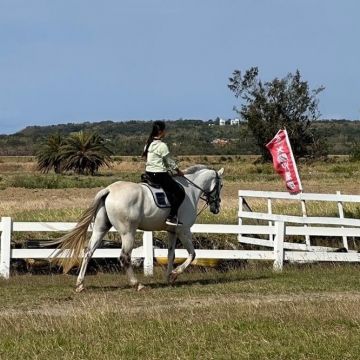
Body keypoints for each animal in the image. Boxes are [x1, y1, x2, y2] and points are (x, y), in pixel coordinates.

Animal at [54, 165, 222, 292]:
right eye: (221, 185)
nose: (216, 208)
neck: (190, 191)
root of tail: (109, 190)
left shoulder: (172, 231)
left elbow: (171, 255)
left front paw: (168, 277)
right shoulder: (184, 231)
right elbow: (192, 254)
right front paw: (175, 273)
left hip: (101, 228)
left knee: (89, 252)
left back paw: (80, 285)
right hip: (128, 232)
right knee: (124, 257)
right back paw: (137, 284)